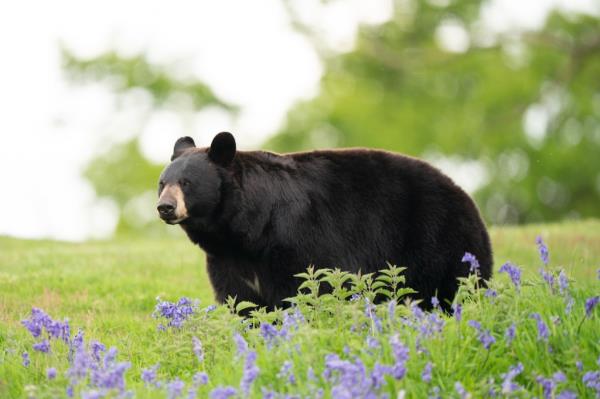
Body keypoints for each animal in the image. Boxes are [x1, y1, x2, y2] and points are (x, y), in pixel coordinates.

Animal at [156, 133, 492, 310]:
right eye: (162, 182)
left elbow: (309, 288)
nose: (165, 207)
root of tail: (466, 197)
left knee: (452, 286)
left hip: (438, 240)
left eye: (186, 182)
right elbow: (242, 301)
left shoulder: (299, 238)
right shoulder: (227, 260)